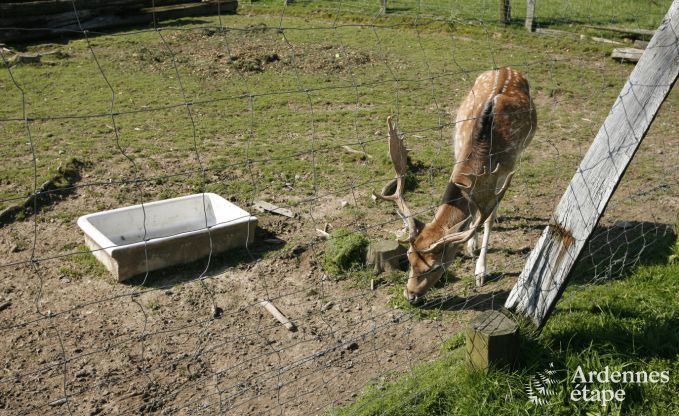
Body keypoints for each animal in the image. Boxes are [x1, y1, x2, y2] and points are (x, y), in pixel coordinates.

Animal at [372, 67, 536, 302]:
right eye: (409, 257)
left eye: (435, 267)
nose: (410, 295)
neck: (484, 146)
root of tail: (507, 68)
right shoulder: (458, 151)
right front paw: (470, 243)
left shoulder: (505, 169)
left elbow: (488, 217)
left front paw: (480, 271)